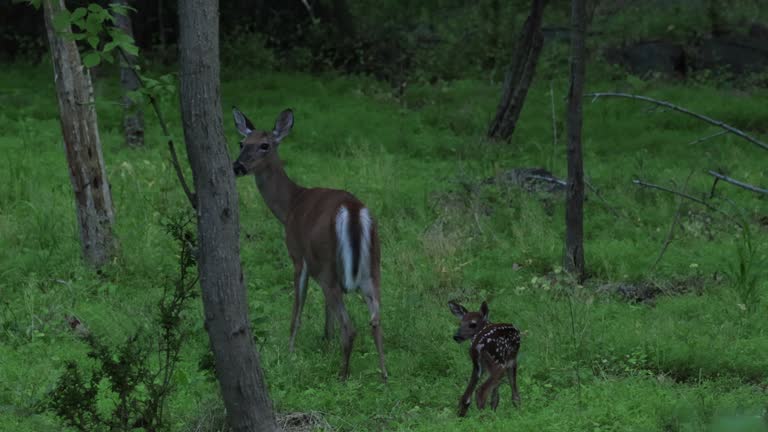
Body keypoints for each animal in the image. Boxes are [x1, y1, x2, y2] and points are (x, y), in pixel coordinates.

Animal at [226, 108, 384, 382]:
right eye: (242, 143)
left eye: (265, 145)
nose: (238, 166)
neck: (290, 206)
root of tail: (353, 209)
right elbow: (326, 312)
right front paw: (325, 341)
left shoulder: (298, 255)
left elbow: (297, 309)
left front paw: (289, 351)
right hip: (373, 264)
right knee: (375, 319)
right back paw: (384, 374)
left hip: (326, 264)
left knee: (350, 326)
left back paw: (342, 376)